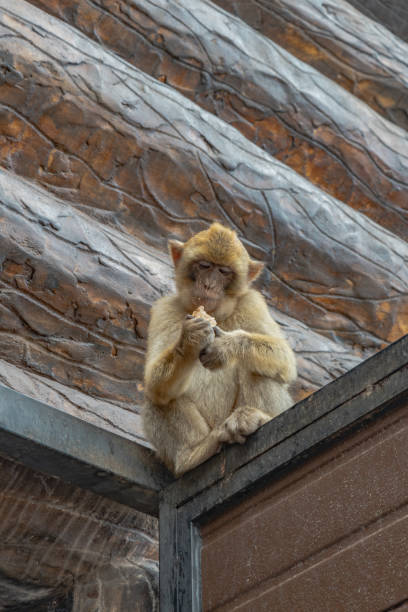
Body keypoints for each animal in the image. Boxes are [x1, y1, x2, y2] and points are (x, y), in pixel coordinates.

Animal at [143, 222, 296, 476]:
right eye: (204, 266)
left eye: (224, 272)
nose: (208, 285)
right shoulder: (165, 309)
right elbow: (154, 382)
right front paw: (191, 338)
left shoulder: (252, 302)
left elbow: (285, 361)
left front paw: (226, 346)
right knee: (158, 397)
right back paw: (193, 454)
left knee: (257, 369)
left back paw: (257, 418)